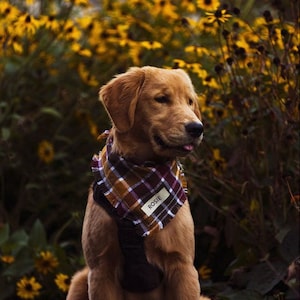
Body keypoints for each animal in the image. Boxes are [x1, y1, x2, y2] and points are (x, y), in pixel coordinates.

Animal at [67, 67, 210, 298]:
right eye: (162, 99)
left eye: (190, 101)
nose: (197, 128)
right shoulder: (101, 270)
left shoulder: (182, 267)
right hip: (80, 280)